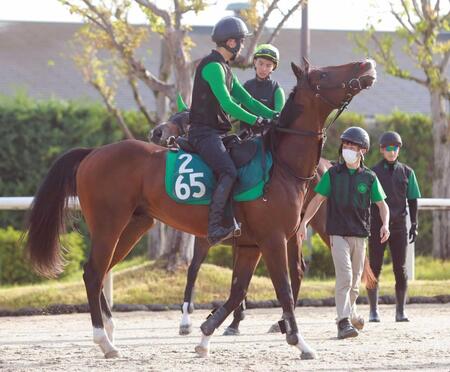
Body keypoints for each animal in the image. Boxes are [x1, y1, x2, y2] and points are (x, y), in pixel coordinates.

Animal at [24, 58, 376, 360]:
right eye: (325, 74)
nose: (367, 65)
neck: (281, 164)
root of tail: (92, 153)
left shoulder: (251, 244)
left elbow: (237, 290)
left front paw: (206, 333)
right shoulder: (273, 239)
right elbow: (283, 291)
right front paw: (299, 342)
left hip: (133, 227)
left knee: (100, 270)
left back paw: (110, 330)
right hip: (109, 224)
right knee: (94, 272)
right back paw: (104, 341)